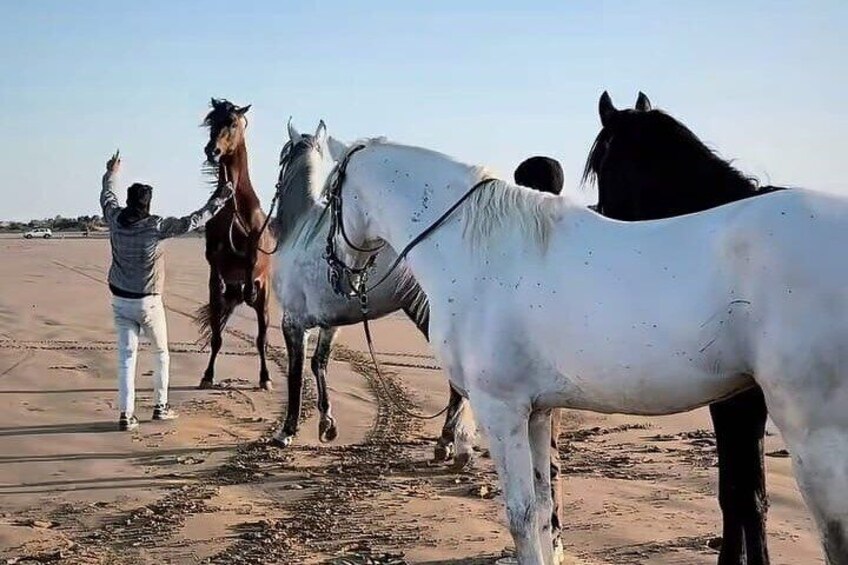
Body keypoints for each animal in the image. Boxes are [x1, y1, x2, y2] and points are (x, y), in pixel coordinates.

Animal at [196, 98, 274, 388]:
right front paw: (207, 376)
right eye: (211, 121)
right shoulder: (212, 251)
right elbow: (214, 260)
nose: (212, 150)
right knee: (217, 335)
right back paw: (207, 375)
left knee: (262, 338)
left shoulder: (256, 248)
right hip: (220, 301)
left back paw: (265, 378)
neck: (233, 207)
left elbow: (251, 257)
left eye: (231, 122)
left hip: (265, 302)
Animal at [328, 138, 848, 564]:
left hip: (814, 431)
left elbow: (520, 515)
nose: (336, 268)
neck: (478, 250)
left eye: (330, 194)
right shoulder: (536, 411)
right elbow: (542, 509)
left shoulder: (501, 408)